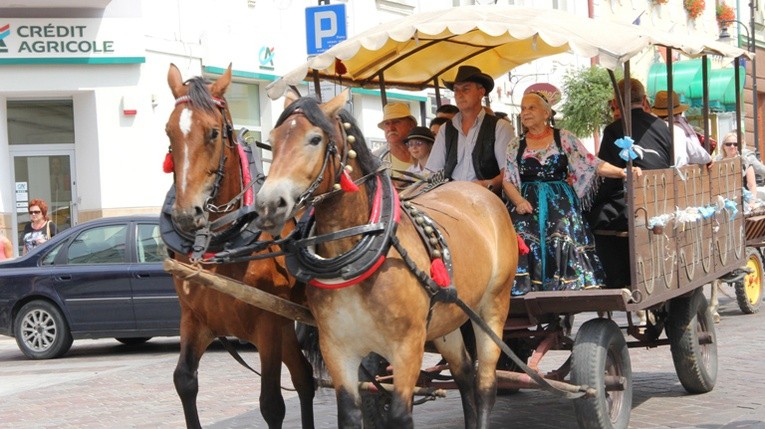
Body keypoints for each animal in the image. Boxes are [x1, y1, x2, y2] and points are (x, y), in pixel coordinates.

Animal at [163, 64, 314, 428]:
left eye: (214, 133)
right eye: (169, 132)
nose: (186, 215)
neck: (221, 242)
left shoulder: (268, 323)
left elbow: (271, 403)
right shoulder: (195, 318)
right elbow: (184, 381)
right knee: (305, 378)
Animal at [254, 92, 516, 426]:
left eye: (314, 139)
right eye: (273, 141)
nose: (268, 205)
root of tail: (481, 193)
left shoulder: (407, 347)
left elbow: (401, 415)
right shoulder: (337, 348)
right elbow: (350, 414)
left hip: (493, 306)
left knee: (485, 384)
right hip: (447, 318)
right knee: (465, 374)